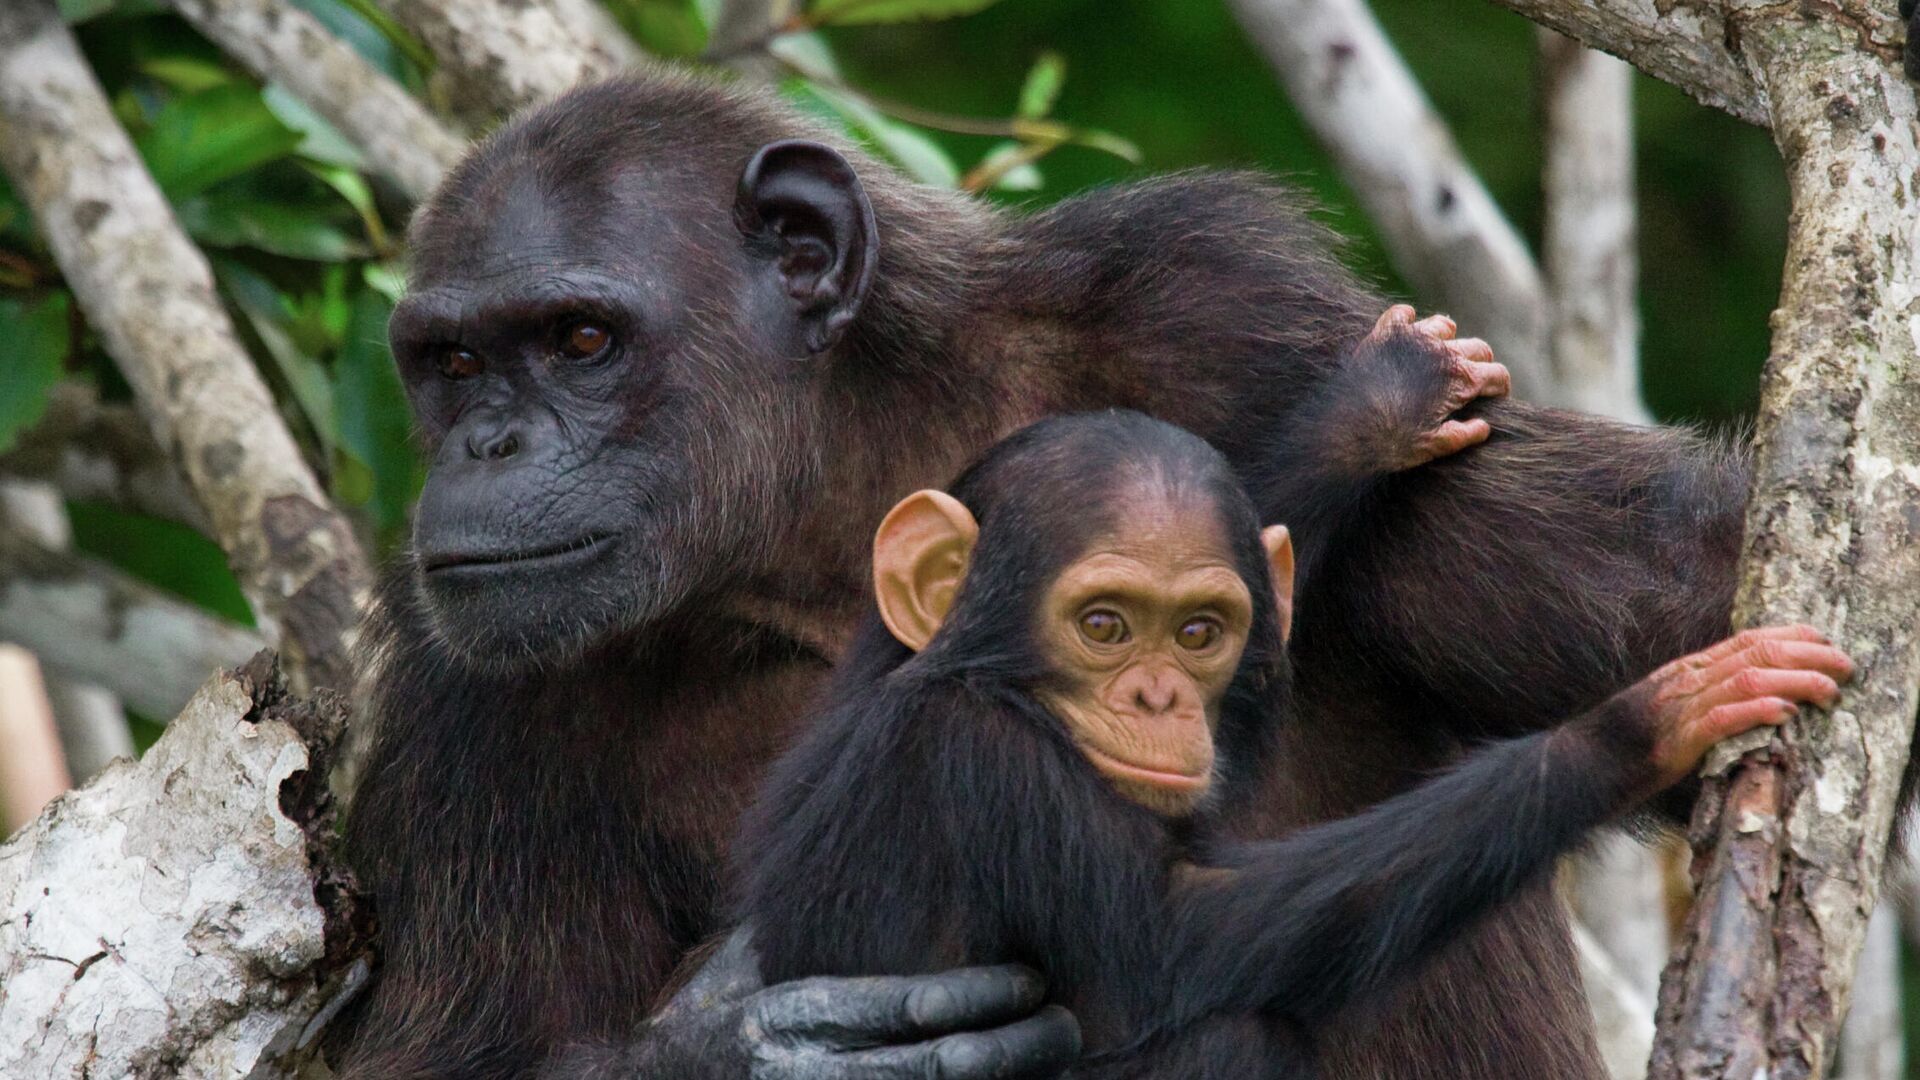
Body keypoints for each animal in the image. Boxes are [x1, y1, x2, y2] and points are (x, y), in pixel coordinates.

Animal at [737, 407, 1858, 1068]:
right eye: (1103, 625)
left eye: (1199, 632)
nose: (1157, 698)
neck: (985, 679)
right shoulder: (984, 764)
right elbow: (1185, 933)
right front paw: (1642, 721)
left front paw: (1372, 411)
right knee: (1229, 1025)